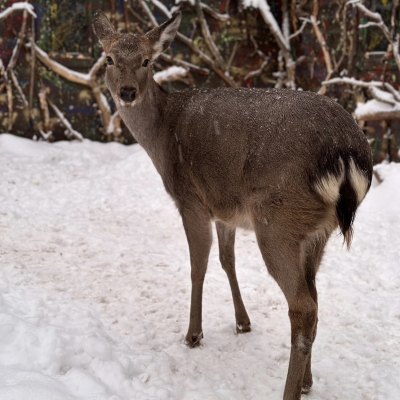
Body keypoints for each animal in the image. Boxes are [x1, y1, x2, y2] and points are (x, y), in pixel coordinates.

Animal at [93, 10, 372, 400]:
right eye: (109, 58)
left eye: (147, 60)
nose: (127, 92)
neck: (162, 135)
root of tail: (347, 153)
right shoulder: (224, 208)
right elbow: (227, 260)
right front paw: (242, 322)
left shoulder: (190, 198)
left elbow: (198, 266)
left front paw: (193, 335)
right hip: (317, 231)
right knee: (314, 297)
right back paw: (307, 382)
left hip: (277, 220)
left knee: (302, 306)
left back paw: (289, 390)